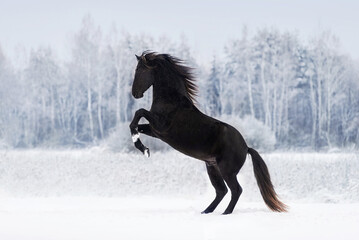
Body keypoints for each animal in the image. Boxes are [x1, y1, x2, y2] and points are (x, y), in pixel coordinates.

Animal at [129, 52, 286, 214]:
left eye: (140, 70)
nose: (135, 93)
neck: (172, 101)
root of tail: (246, 147)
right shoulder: (155, 131)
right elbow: (135, 125)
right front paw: (143, 148)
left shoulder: (160, 126)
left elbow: (139, 112)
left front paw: (144, 149)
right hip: (212, 167)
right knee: (221, 191)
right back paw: (206, 211)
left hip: (227, 171)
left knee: (236, 190)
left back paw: (225, 213)